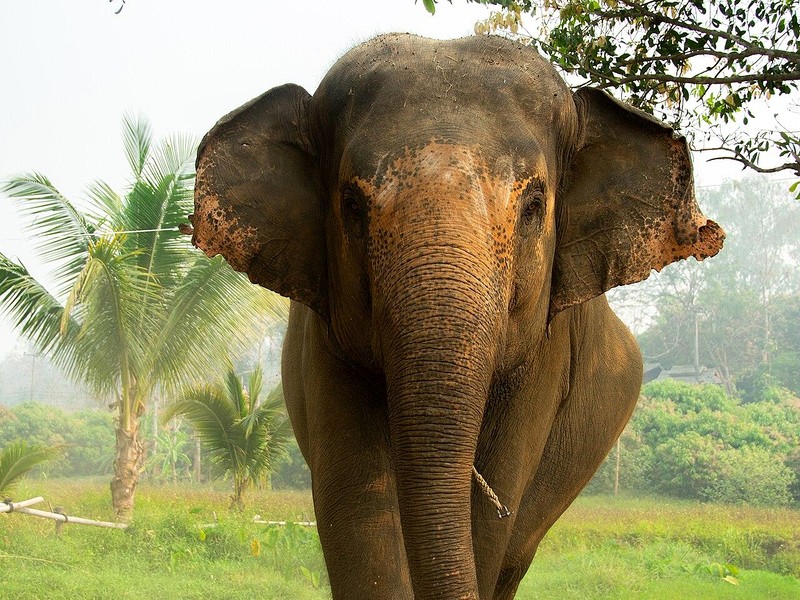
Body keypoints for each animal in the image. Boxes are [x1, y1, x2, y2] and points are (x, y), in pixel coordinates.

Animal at [191, 34, 724, 600]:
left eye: (533, 206)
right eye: (352, 206)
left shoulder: (545, 351)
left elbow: (489, 512)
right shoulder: (325, 333)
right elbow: (357, 499)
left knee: (514, 554)